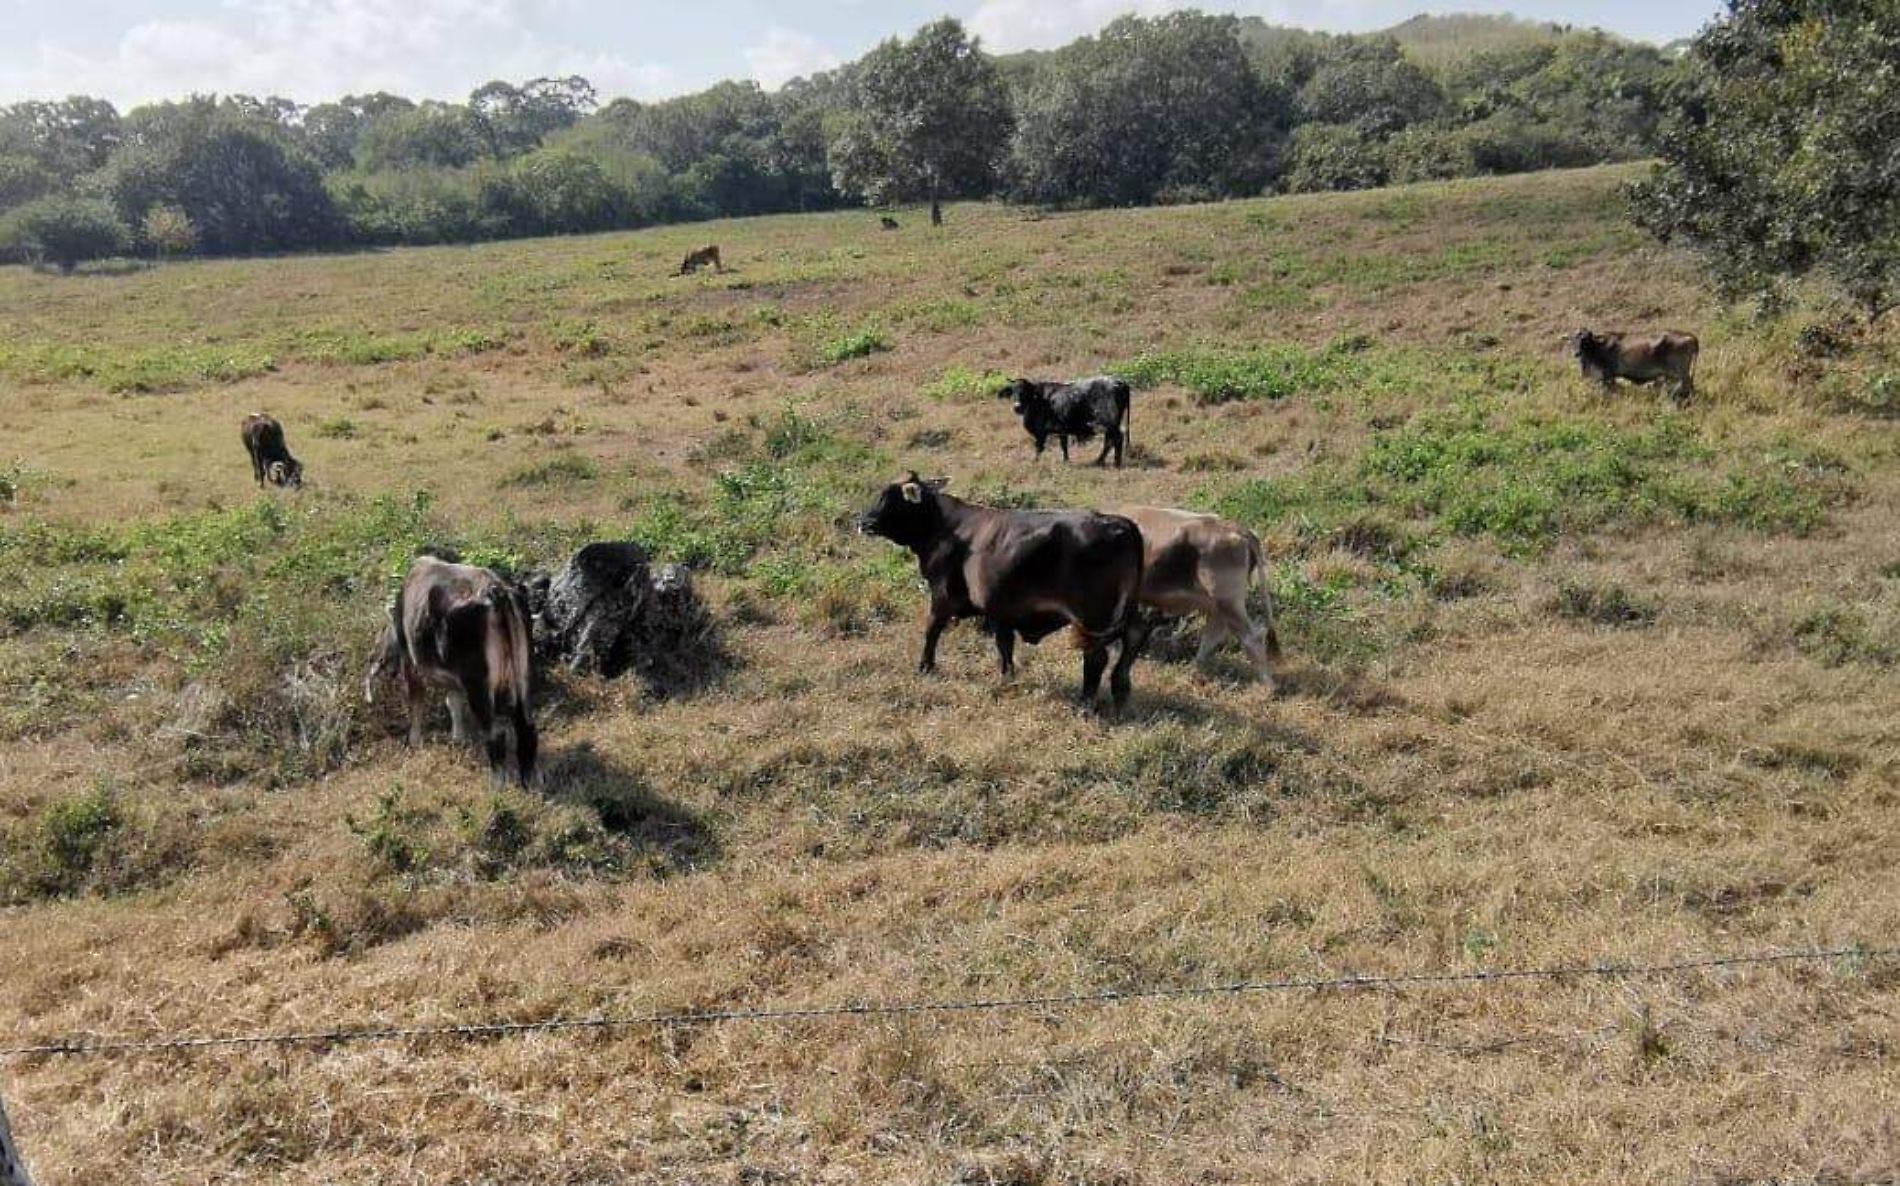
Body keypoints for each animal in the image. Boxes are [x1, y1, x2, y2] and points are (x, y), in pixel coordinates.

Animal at [364, 554, 539, 786]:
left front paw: (415, 741)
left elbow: (417, 702)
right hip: (524, 673)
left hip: (479, 685)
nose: (374, 657)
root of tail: (496, 589)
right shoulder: (453, 678)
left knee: (495, 734)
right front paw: (457, 738)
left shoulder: (411, 663)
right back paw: (530, 782)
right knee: (526, 728)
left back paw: (497, 784)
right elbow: (453, 701)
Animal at [858, 469, 1147, 714]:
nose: (863, 522)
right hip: (1125, 614)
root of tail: (1118, 523)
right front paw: (1007, 676)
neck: (945, 526)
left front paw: (925, 667)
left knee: (1096, 656)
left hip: (1093, 617)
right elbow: (1004, 645)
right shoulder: (999, 609)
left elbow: (931, 631)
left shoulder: (942, 596)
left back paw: (1086, 702)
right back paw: (1121, 692)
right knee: (1131, 643)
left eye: (889, 498)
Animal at [1003, 374, 1132, 467]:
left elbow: (1039, 448)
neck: (1040, 400)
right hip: (1110, 425)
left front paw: (1034, 462)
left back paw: (1116, 463)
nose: (1017, 407)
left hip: (1110, 423)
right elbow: (1063, 446)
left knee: (1117, 439)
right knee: (1109, 441)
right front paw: (1065, 461)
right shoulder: (1061, 430)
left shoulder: (1041, 432)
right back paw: (1099, 461)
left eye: (1026, 392)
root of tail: (1119, 381)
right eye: (1013, 391)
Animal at [1109, 505, 1284, 691]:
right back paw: (1194, 670)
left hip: (1228, 600)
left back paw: (1268, 686)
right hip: (1219, 603)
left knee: (1251, 637)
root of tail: (1237, 528)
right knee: (1213, 634)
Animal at [1565, 328, 1702, 402]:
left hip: (1681, 372)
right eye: (1573, 340)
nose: (1576, 353)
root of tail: (1690, 336)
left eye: (1585, 340)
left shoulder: (1607, 376)